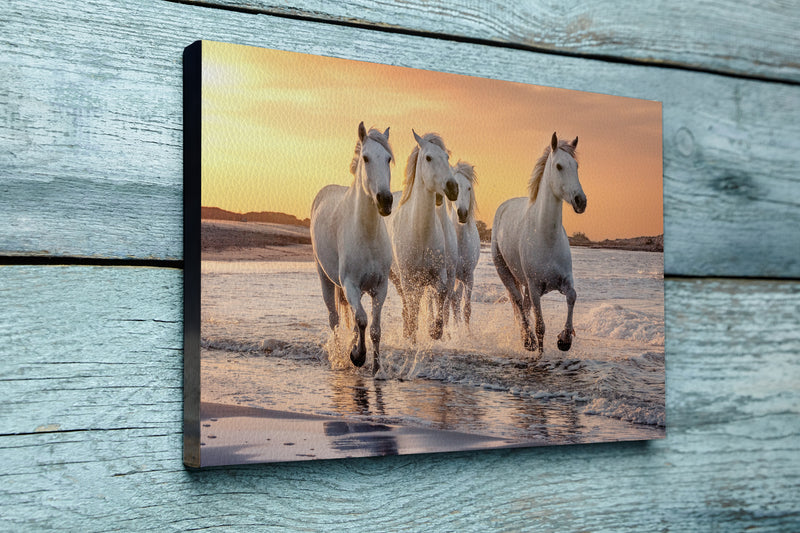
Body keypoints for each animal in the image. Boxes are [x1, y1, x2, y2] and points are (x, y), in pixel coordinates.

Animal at [310, 121, 394, 372]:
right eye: (366, 158)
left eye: (388, 159)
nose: (385, 201)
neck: (367, 235)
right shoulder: (350, 285)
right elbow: (362, 320)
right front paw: (357, 356)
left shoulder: (380, 287)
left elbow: (374, 328)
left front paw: (377, 368)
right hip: (326, 279)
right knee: (335, 320)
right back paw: (339, 356)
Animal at [388, 131, 456, 342]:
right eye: (428, 157)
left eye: (447, 157)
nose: (453, 187)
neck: (420, 233)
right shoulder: (408, 278)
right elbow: (413, 305)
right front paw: (412, 334)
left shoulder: (438, 274)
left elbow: (441, 293)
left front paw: (435, 330)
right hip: (396, 277)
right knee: (407, 303)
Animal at [490, 130, 584, 354]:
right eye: (559, 166)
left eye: (576, 166)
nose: (581, 201)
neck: (546, 238)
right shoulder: (534, 288)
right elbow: (540, 326)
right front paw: (539, 349)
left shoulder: (565, 281)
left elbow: (572, 296)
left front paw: (565, 339)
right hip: (504, 271)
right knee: (518, 302)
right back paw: (528, 341)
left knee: (523, 306)